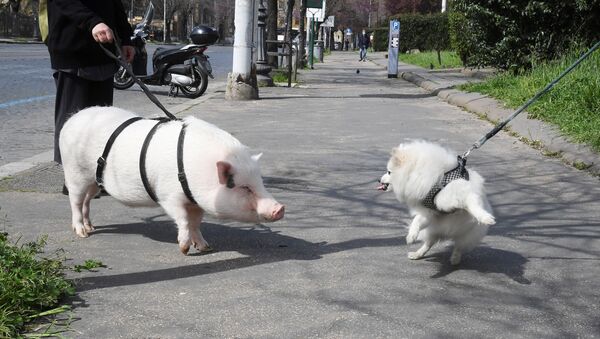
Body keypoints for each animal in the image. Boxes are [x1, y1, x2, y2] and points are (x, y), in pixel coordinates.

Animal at [59, 106, 284, 255]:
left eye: (260, 182)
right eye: (243, 187)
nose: (280, 208)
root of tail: (71, 119)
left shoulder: (196, 200)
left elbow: (196, 223)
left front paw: (205, 247)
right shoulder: (168, 195)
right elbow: (183, 219)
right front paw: (184, 249)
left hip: (94, 182)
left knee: (87, 201)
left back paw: (91, 227)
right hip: (74, 172)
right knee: (75, 201)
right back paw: (82, 233)